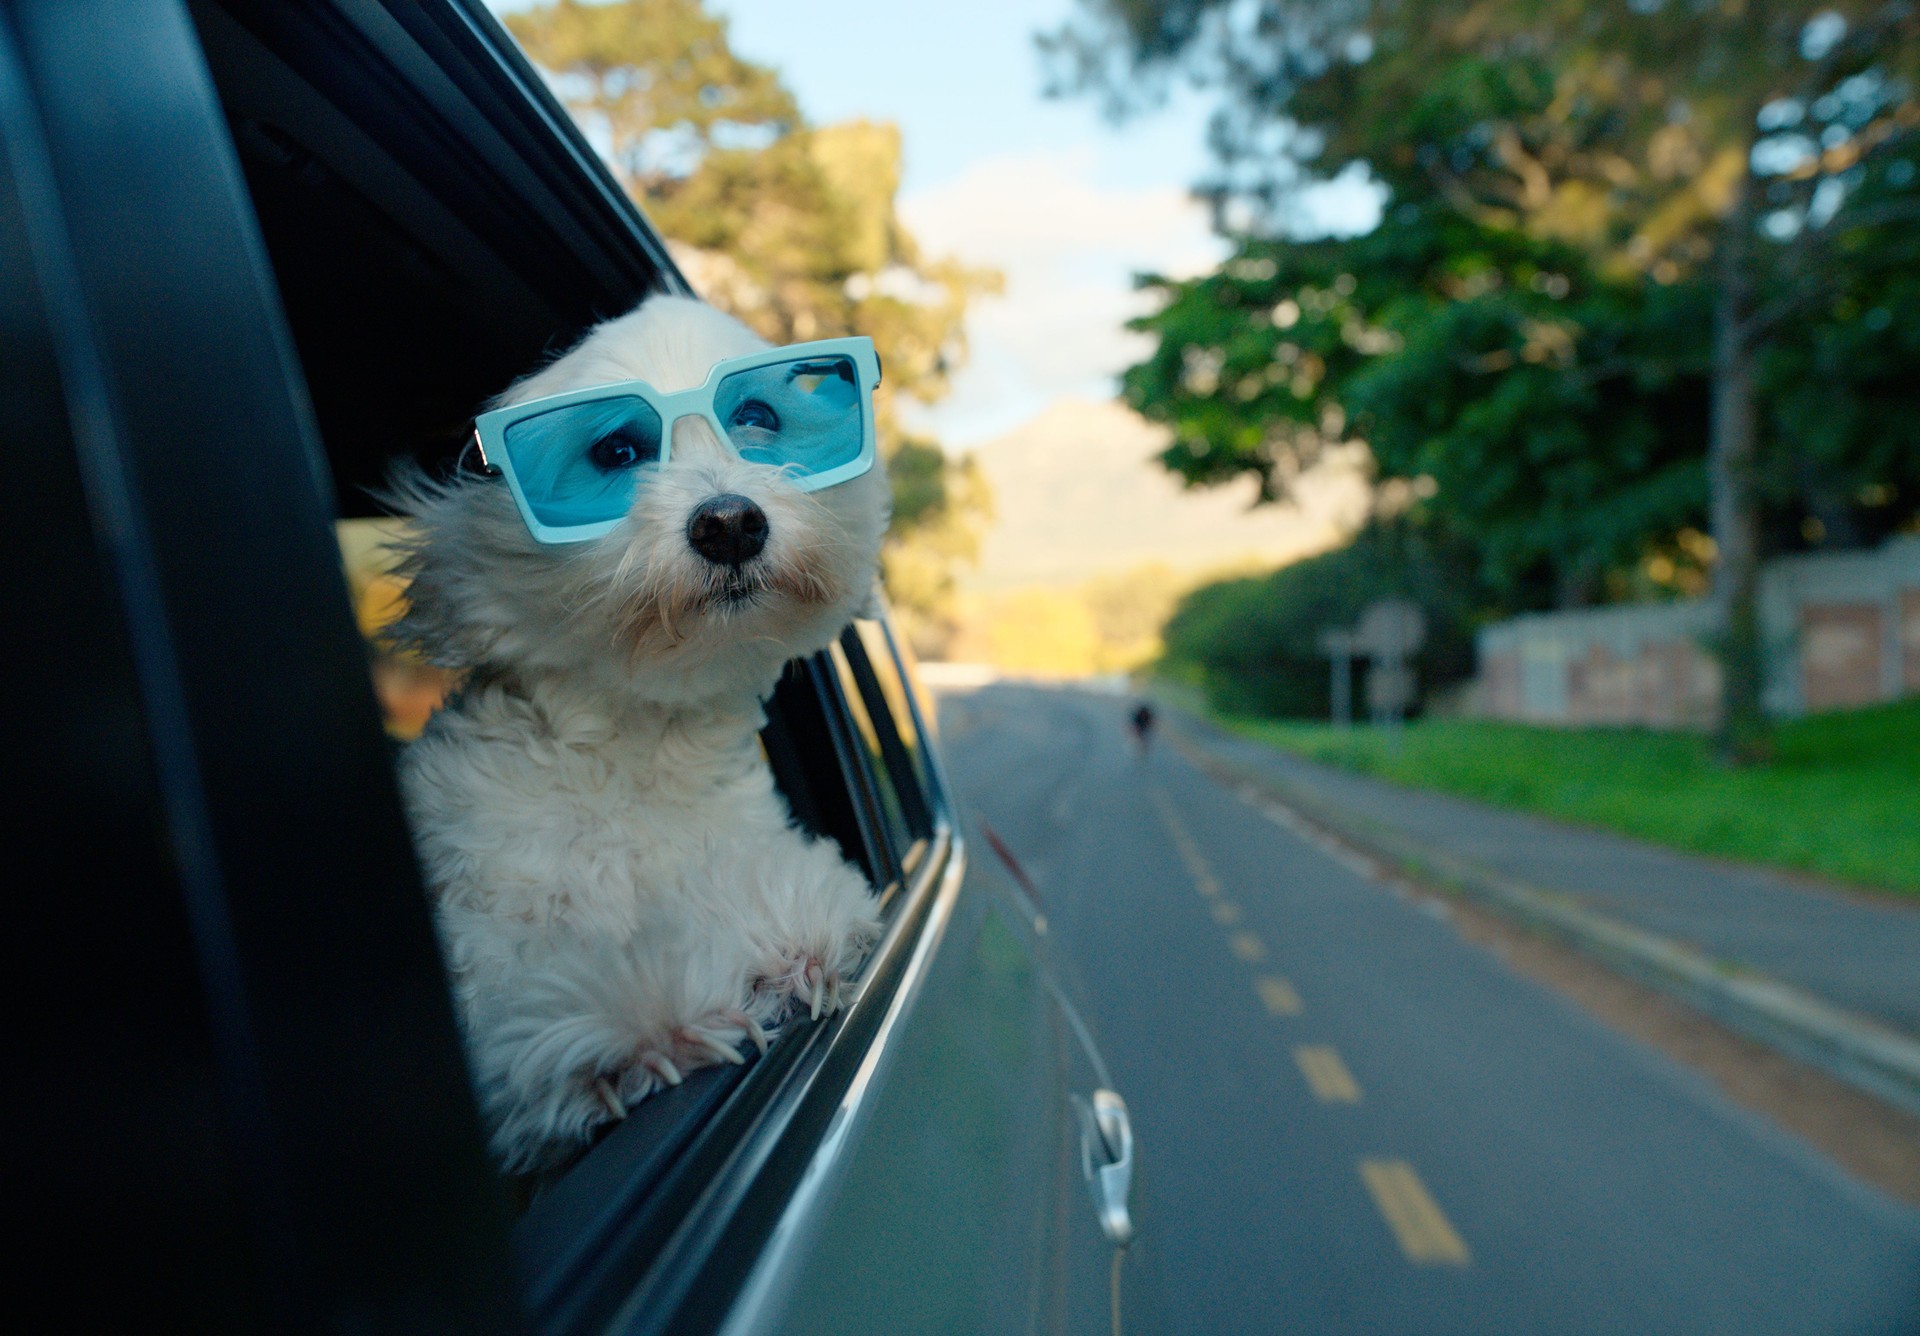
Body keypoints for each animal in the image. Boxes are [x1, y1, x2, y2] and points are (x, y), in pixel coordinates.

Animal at [384, 299, 890, 1167]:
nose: (729, 522)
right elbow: (526, 986)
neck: (641, 745)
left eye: (759, 416)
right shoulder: (476, 919)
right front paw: (638, 1016)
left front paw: (775, 944)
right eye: (616, 451)